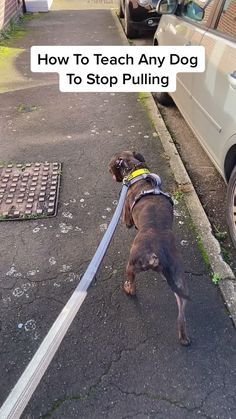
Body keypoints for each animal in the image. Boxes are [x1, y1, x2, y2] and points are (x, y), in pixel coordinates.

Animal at [109, 151, 191, 348]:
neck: (136, 172)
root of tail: (158, 254)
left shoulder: (127, 215)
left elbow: (127, 222)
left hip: (131, 265)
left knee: (132, 287)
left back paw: (127, 289)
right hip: (179, 281)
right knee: (181, 316)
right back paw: (184, 337)